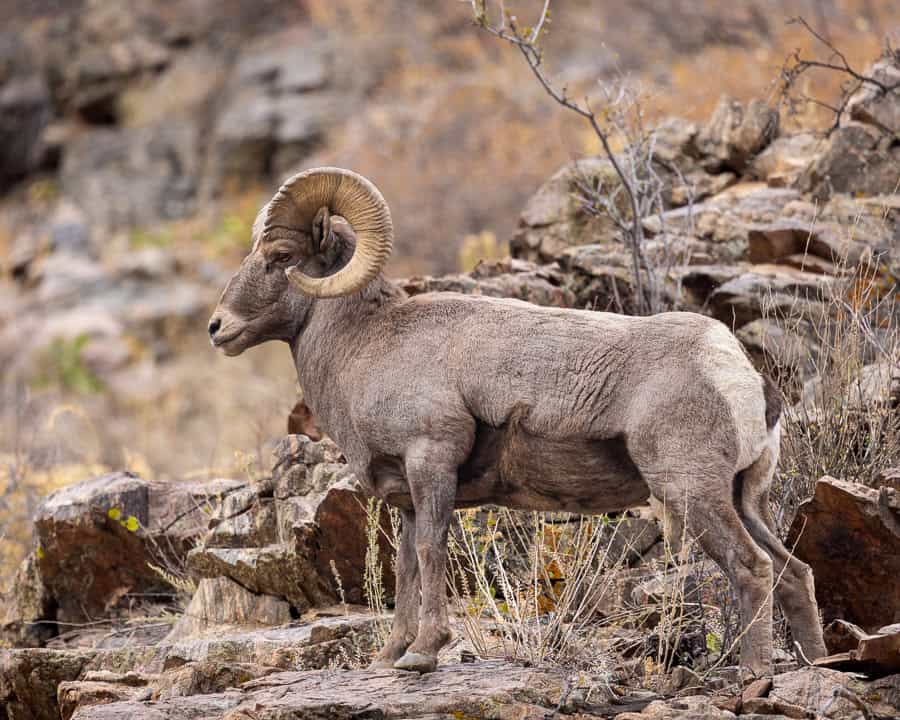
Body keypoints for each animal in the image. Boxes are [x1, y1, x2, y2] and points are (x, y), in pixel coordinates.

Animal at [208, 167, 827, 675]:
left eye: (280, 257)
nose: (218, 328)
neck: (366, 346)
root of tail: (742, 376)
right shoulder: (405, 495)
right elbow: (406, 567)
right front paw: (391, 656)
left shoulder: (431, 462)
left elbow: (431, 554)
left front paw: (424, 654)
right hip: (746, 497)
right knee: (794, 571)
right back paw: (820, 664)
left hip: (692, 492)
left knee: (751, 568)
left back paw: (752, 673)